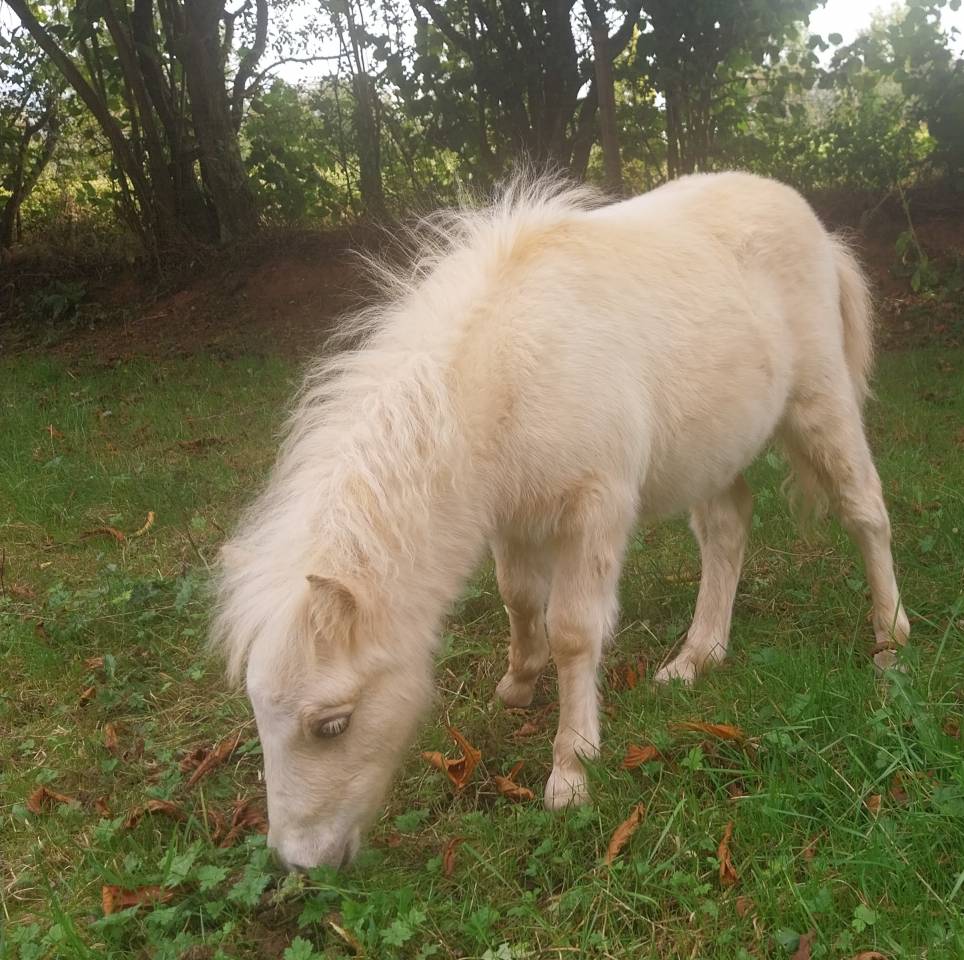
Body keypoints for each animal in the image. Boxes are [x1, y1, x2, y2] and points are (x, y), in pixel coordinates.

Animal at [211, 171, 909, 871]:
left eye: (333, 724)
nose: (301, 861)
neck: (505, 373)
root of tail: (818, 230)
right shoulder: (512, 517)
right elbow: (519, 598)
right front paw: (518, 685)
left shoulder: (593, 511)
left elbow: (573, 630)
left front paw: (571, 770)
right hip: (712, 448)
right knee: (727, 526)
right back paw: (695, 659)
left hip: (821, 403)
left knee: (865, 510)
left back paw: (890, 641)